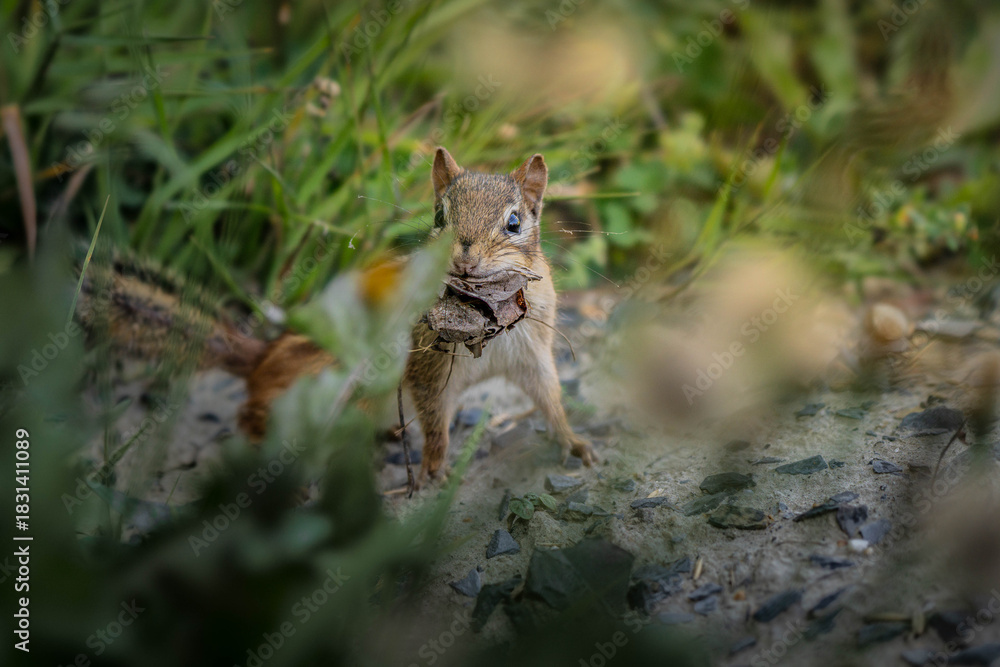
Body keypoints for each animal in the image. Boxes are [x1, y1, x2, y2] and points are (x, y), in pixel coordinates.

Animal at [78, 147, 596, 484]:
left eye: (514, 222)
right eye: (438, 217)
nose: (463, 257)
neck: (488, 312)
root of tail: (259, 358)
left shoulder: (532, 354)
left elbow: (549, 398)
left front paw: (575, 443)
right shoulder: (428, 368)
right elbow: (435, 421)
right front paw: (436, 467)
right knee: (252, 416)